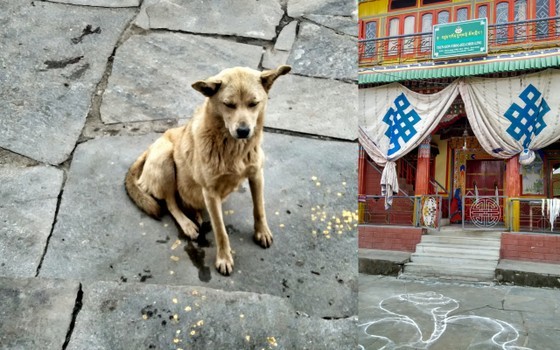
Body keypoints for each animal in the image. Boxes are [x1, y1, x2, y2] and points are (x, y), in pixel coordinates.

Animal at [124, 64, 290, 274]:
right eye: (229, 104)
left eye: (254, 104)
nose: (243, 131)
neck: (232, 148)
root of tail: (148, 150)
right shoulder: (210, 192)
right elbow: (220, 230)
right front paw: (224, 258)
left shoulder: (256, 175)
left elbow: (259, 208)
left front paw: (262, 232)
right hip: (166, 157)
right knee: (171, 203)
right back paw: (187, 224)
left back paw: (194, 213)